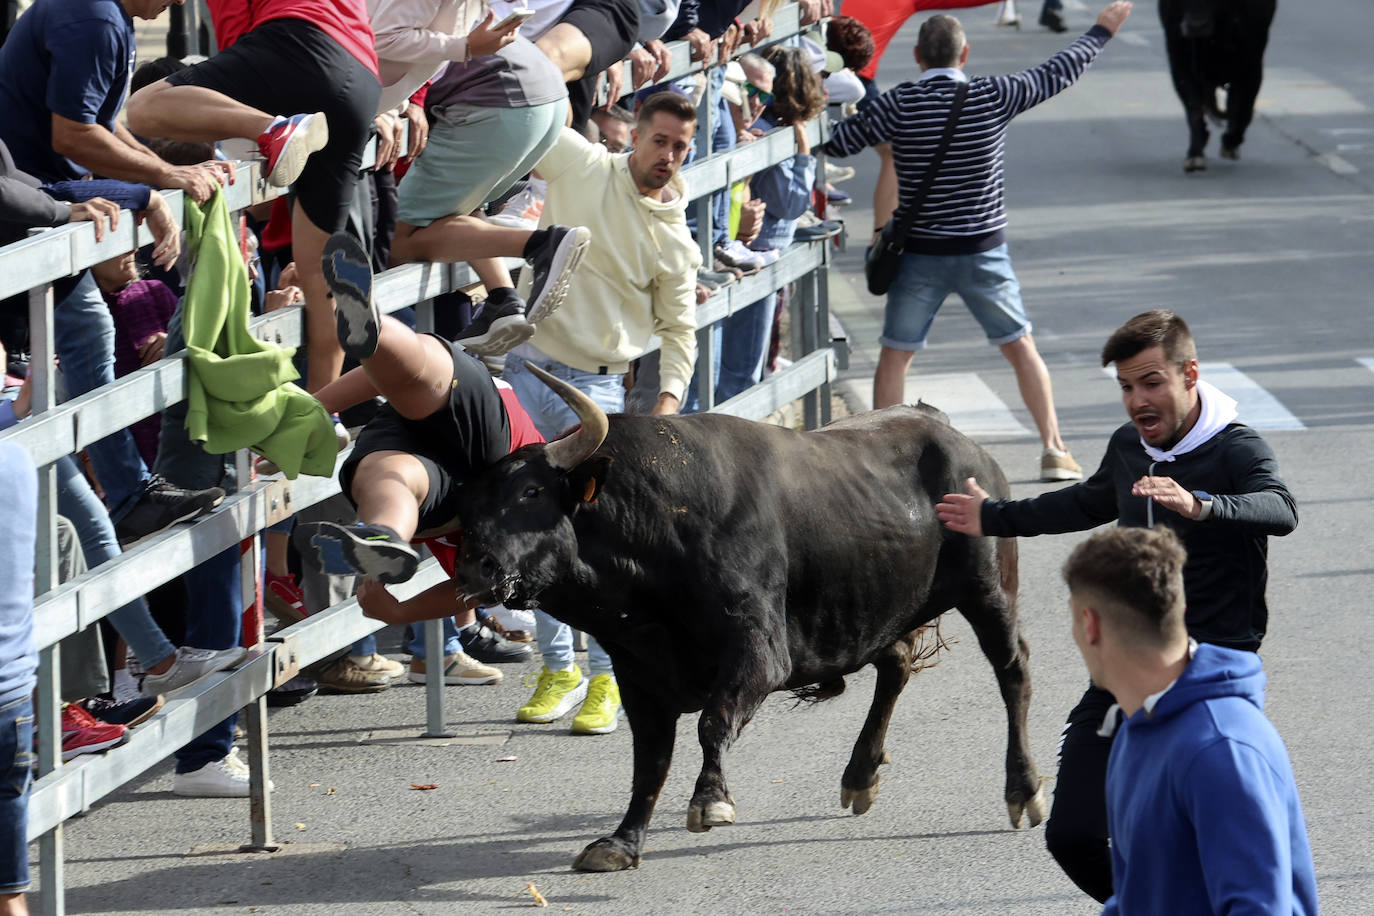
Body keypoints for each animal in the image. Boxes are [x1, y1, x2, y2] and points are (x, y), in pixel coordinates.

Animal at [456, 368, 1044, 873]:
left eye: (531, 491)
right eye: (469, 503)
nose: (471, 566)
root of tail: (951, 435)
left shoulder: (759, 651)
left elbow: (712, 722)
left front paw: (710, 800)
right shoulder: (637, 672)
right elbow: (649, 760)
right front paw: (621, 842)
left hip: (990, 590)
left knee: (1013, 670)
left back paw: (1024, 789)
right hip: (879, 611)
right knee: (896, 665)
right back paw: (860, 776)